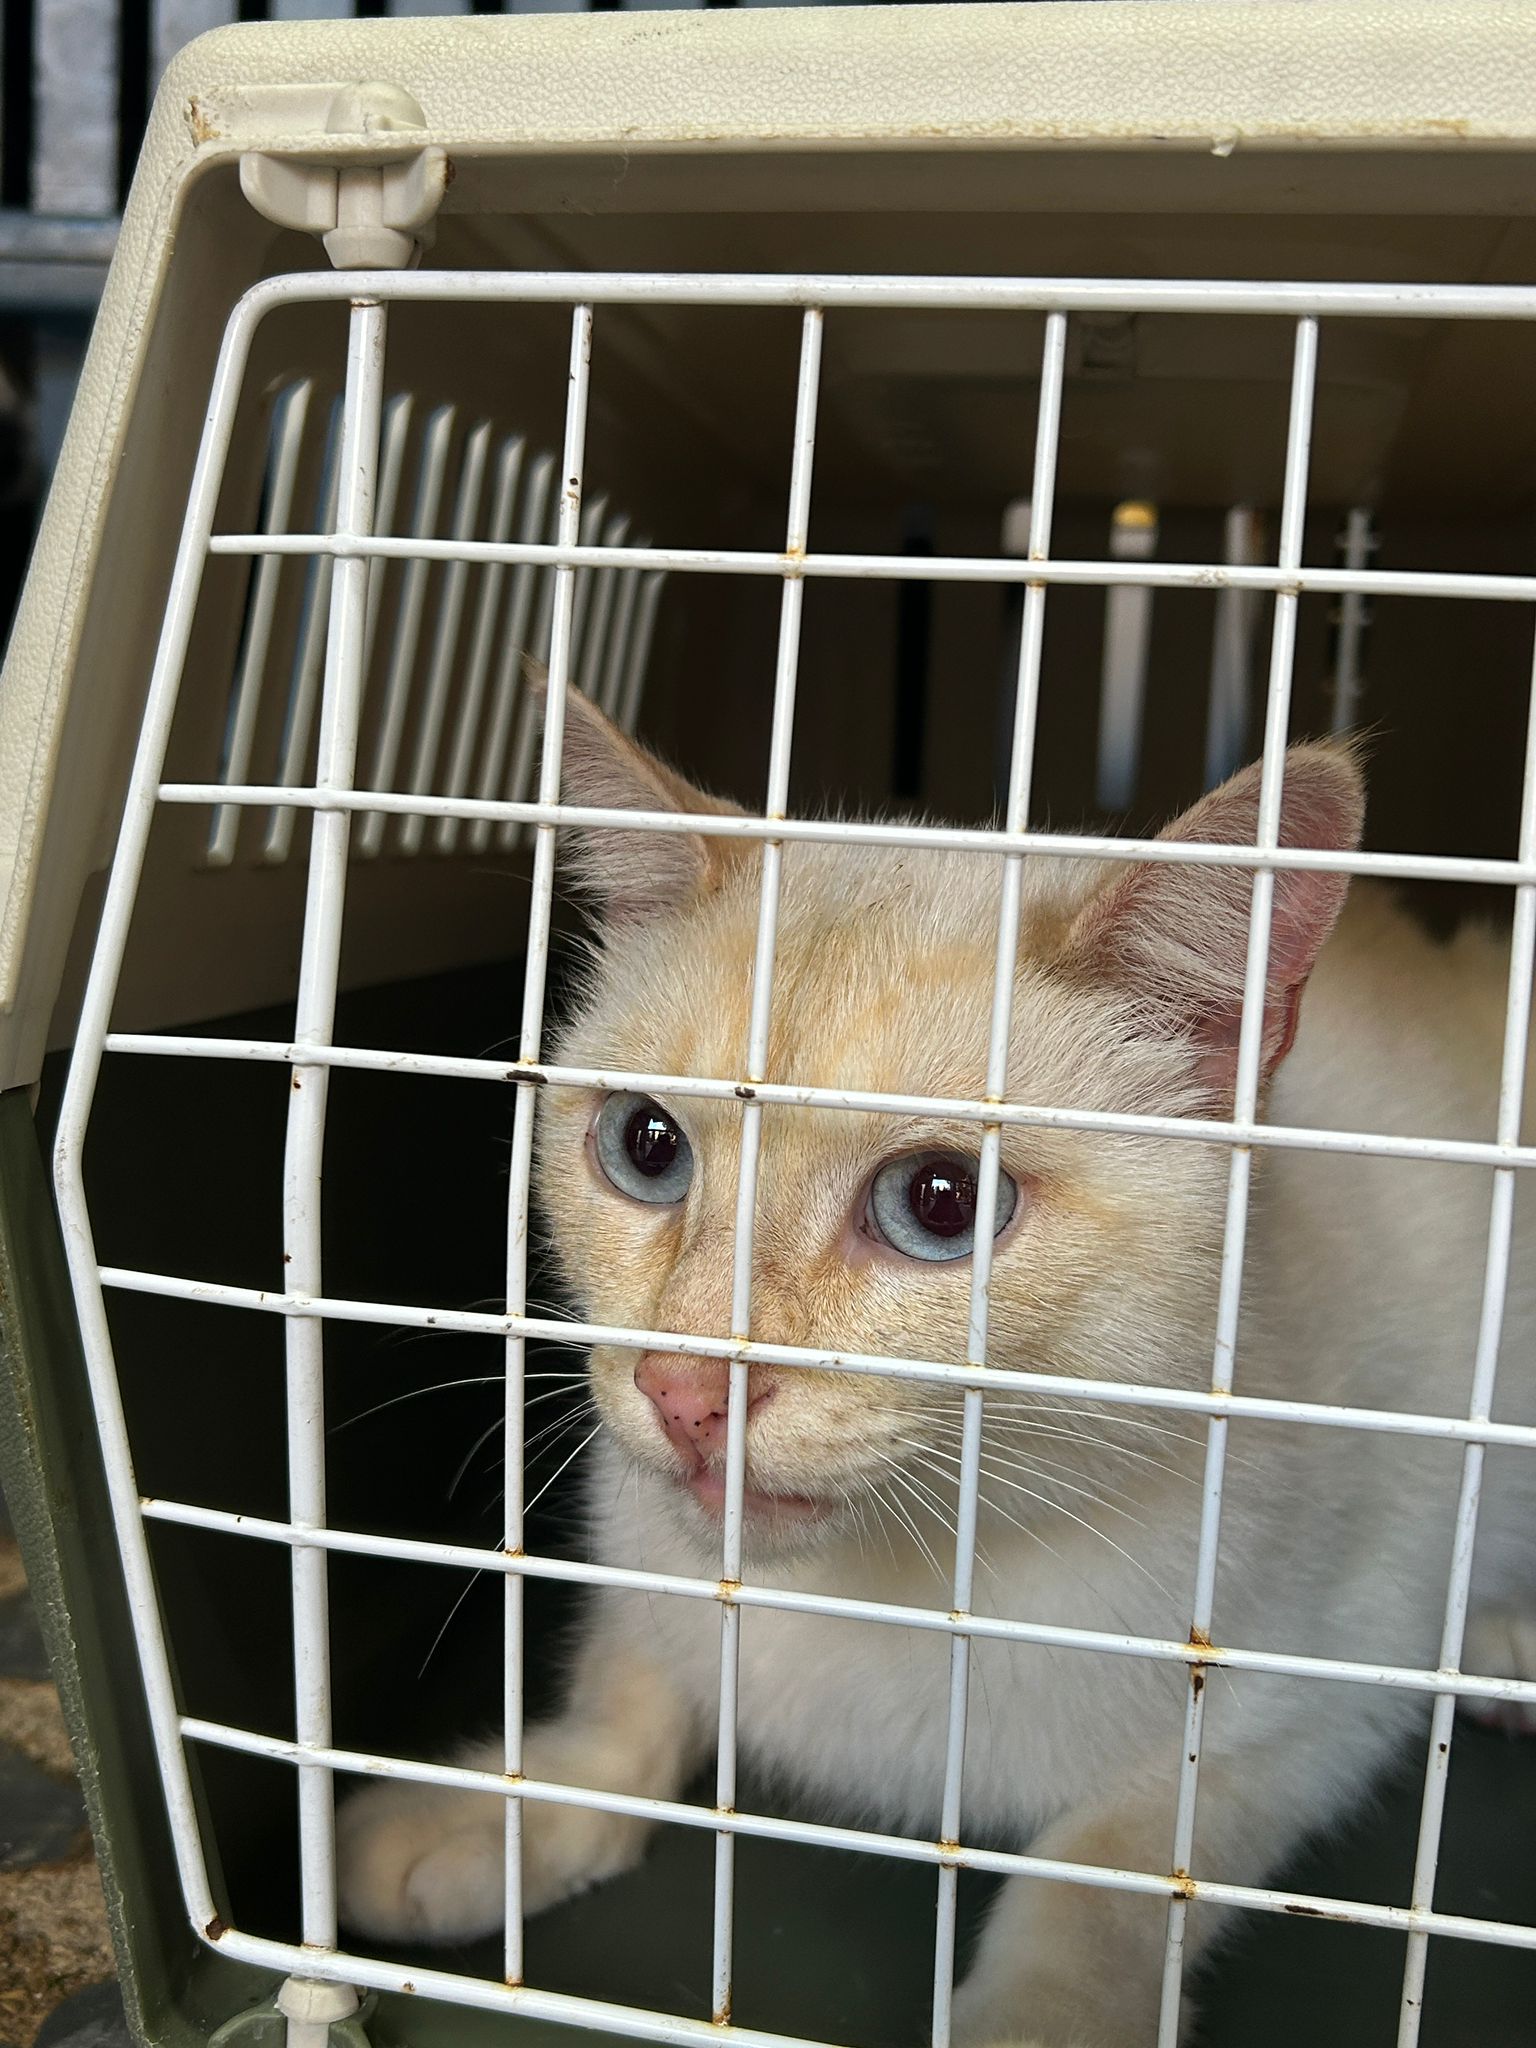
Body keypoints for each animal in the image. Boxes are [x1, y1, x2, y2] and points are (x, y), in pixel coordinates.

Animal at [337, 691, 1536, 2047]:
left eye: (942, 1202)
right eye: (645, 1146)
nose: (687, 1389)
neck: (891, 1584)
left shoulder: (1310, 1708)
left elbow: (1111, 1869)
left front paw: (1039, 2016)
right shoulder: (657, 1562)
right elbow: (633, 1696)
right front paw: (504, 1806)